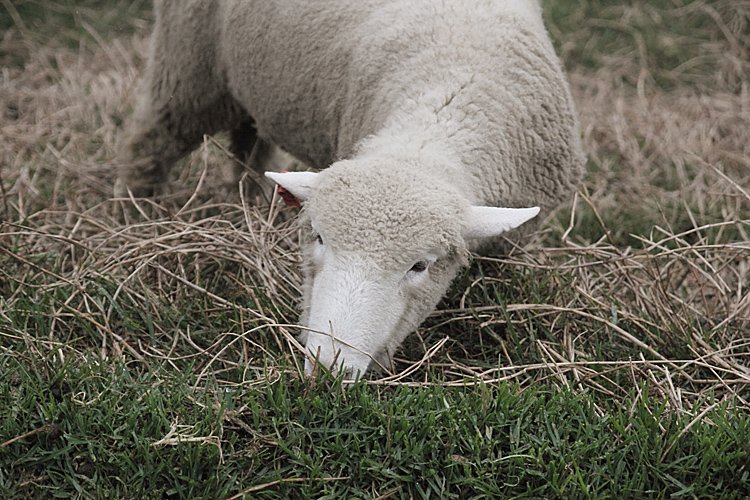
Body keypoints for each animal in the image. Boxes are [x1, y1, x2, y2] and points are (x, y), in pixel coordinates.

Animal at [117, 0, 588, 378]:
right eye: (319, 239)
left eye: (420, 265)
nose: (328, 369)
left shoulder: (515, 238)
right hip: (189, 66)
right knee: (150, 142)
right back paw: (135, 213)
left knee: (249, 142)